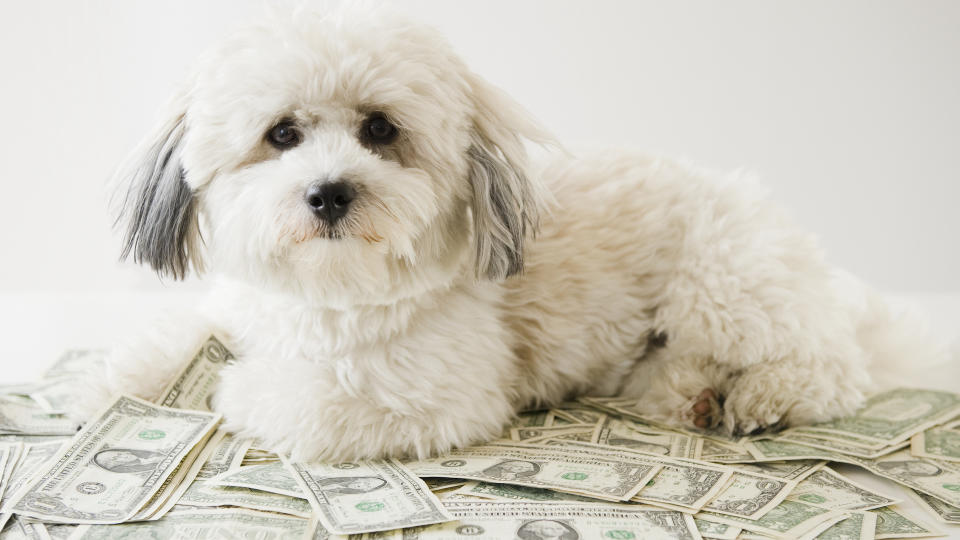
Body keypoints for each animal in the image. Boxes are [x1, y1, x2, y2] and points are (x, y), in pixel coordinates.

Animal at [86, 6, 940, 460]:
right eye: (283, 134)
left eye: (380, 129)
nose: (328, 193)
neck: (329, 291)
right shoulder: (242, 303)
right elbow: (178, 334)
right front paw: (111, 378)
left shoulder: (434, 396)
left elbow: (286, 397)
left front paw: (233, 386)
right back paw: (692, 396)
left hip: (725, 285)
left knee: (832, 368)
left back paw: (759, 396)